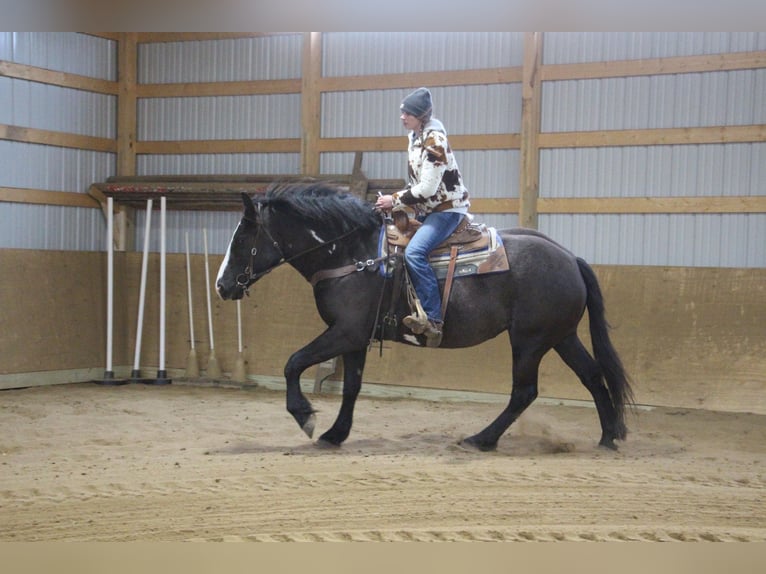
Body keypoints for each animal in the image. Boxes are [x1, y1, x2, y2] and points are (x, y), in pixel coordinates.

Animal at [216, 182, 636, 452]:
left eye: (242, 238)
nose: (222, 285)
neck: (353, 255)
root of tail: (571, 258)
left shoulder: (344, 332)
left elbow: (293, 362)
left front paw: (305, 416)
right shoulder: (356, 338)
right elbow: (351, 387)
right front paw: (335, 434)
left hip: (530, 341)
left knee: (524, 392)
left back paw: (482, 439)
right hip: (561, 337)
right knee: (593, 376)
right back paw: (608, 437)